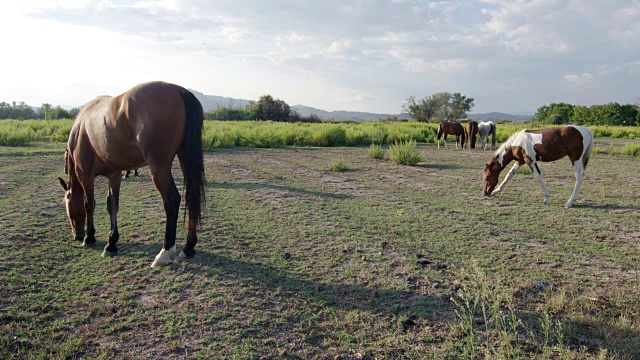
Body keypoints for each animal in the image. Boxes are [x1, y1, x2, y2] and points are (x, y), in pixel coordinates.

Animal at [58, 81, 205, 268]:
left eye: (66, 203)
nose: (76, 234)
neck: (80, 128)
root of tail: (179, 91)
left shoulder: (85, 174)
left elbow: (89, 204)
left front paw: (89, 237)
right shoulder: (114, 175)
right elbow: (112, 205)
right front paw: (111, 243)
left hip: (159, 167)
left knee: (172, 200)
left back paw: (164, 252)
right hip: (185, 156)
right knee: (191, 197)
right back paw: (188, 247)